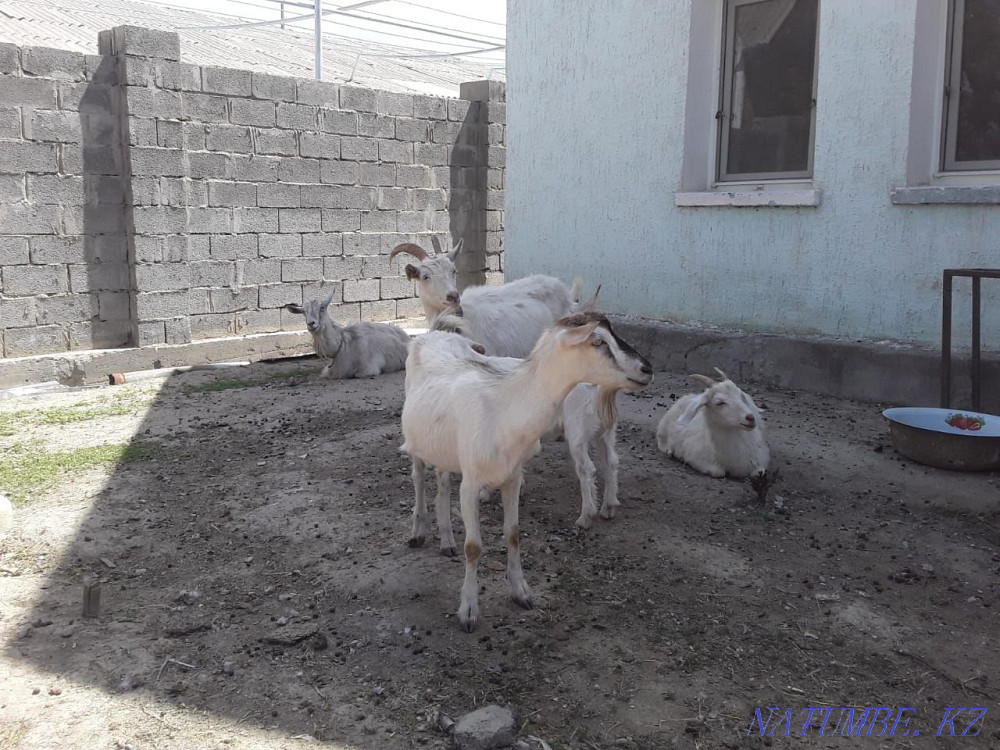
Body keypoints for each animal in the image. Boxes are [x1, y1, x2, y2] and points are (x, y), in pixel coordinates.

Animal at [401, 314, 653, 631]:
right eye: (598, 341)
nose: (647, 369)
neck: (504, 409)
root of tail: (433, 333)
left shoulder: (512, 477)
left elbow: (513, 534)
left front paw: (521, 593)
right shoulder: (470, 484)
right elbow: (473, 547)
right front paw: (468, 610)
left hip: (446, 447)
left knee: (443, 483)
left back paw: (447, 541)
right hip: (416, 441)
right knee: (419, 479)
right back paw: (417, 532)